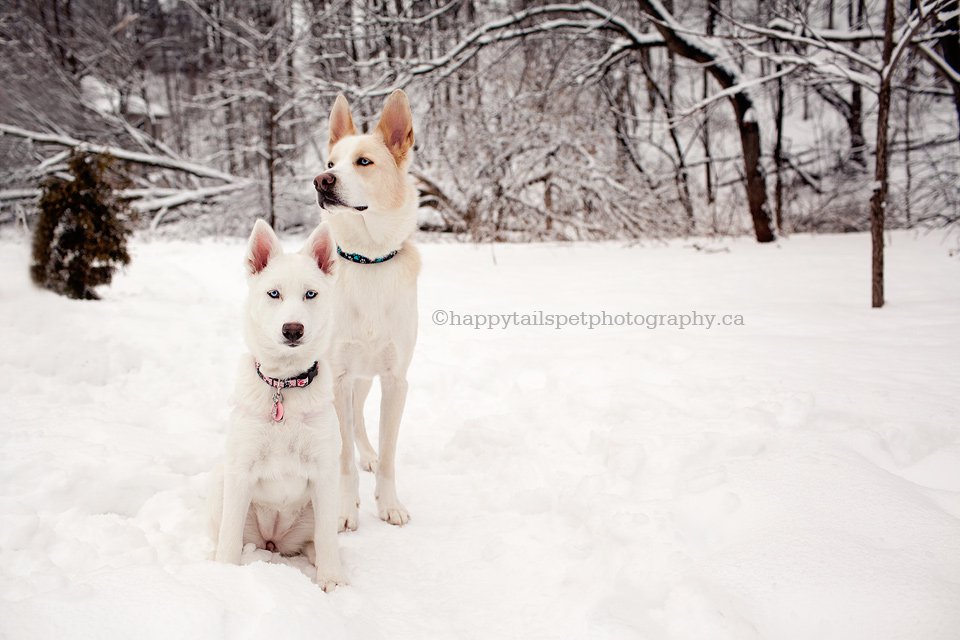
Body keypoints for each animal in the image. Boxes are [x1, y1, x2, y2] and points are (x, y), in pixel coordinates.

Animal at [212, 219, 346, 592]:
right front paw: (223, 576)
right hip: (223, 492)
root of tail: (273, 541)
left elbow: (327, 538)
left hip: (321, 509)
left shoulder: (325, 472)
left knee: (320, 539)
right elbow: (228, 540)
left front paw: (332, 580)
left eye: (310, 294)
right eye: (274, 294)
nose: (293, 329)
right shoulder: (240, 471)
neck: (284, 386)